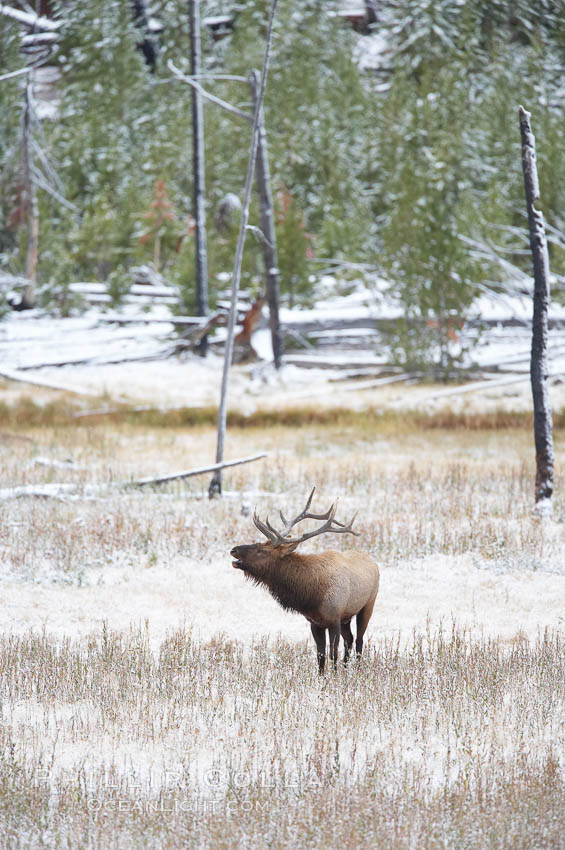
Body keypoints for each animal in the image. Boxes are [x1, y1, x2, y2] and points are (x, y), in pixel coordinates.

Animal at [229, 486, 378, 672]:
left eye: (261, 550)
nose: (233, 550)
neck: (312, 595)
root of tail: (373, 561)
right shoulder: (315, 622)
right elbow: (320, 656)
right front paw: (323, 677)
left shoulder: (334, 618)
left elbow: (332, 654)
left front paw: (335, 677)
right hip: (347, 615)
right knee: (349, 639)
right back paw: (345, 668)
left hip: (368, 605)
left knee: (359, 640)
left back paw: (356, 670)